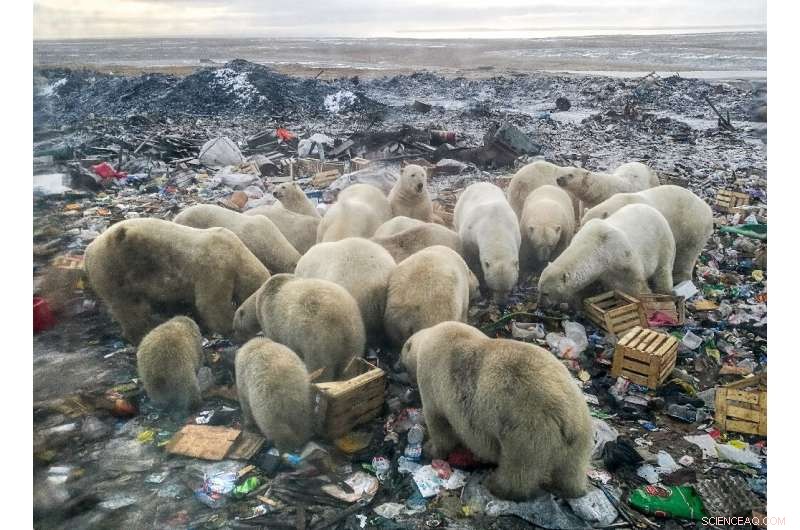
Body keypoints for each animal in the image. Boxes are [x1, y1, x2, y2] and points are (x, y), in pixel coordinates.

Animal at [85, 218, 269, 345]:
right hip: (115, 270)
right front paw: (232, 330)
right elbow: (211, 304)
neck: (238, 254)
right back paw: (141, 333)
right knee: (129, 307)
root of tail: (88, 251)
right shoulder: (215, 267)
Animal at [233, 274, 365, 382]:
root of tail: (341, 321)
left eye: (235, 329)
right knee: (349, 364)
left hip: (317, 338)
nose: (236, 341)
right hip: (355, 335)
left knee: (320, 366)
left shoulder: (270, 319)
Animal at [401, 321, 592, 500]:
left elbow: (440, 423)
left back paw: (496, 485)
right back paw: (571, 489)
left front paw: (429, 449)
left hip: (527, 431)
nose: (396, 367)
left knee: (518, 468)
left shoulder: (433, 382)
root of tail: (566, 417)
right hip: (579, 433)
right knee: (572, 467)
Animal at [538, 203, 675, 309]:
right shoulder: (599, 271)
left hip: (663, 242)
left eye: (546, 293)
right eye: (539, 290)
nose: (541, 305)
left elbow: (636, 286)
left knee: (663, 270)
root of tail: (654, 209)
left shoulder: (623, 259)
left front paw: (650, 305)